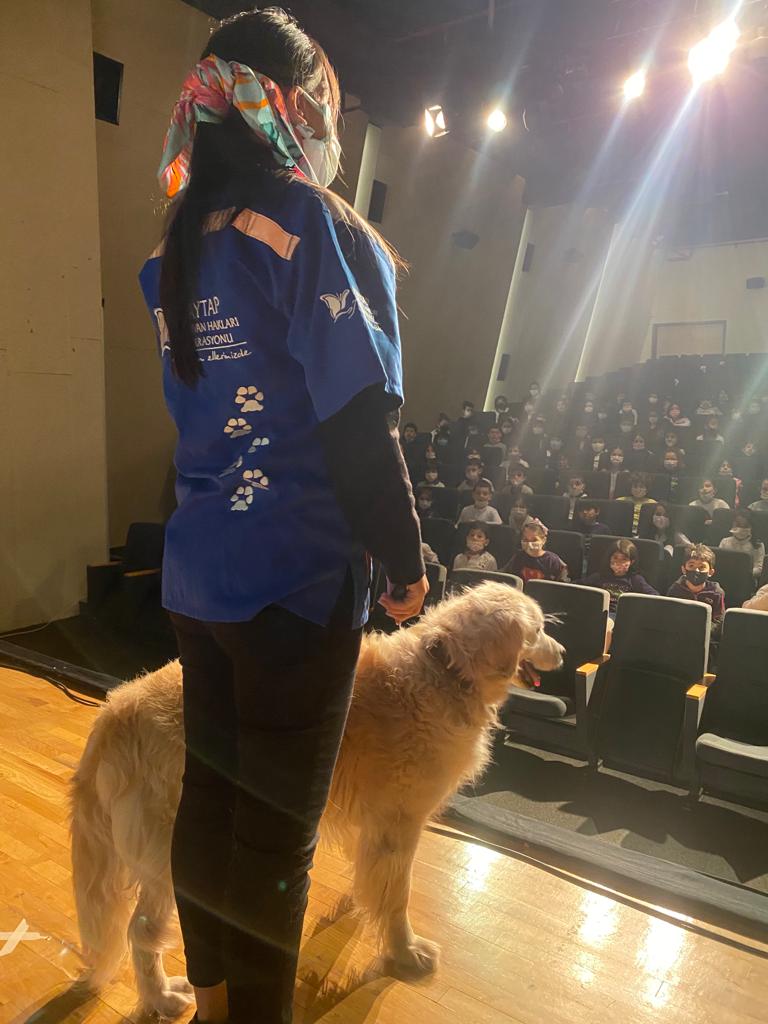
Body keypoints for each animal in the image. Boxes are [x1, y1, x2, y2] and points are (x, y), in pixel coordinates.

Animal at [69, 581, 563, 1015]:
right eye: (539, 629)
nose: (561, 653)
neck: (445, 670)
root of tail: (114, 710)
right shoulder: (400, 824)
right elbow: (396, 898)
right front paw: (405, 952)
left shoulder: (376, 826)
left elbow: (373, 882)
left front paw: (358, 910)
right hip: (169, 854)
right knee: (141, 931)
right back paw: (162, 997)